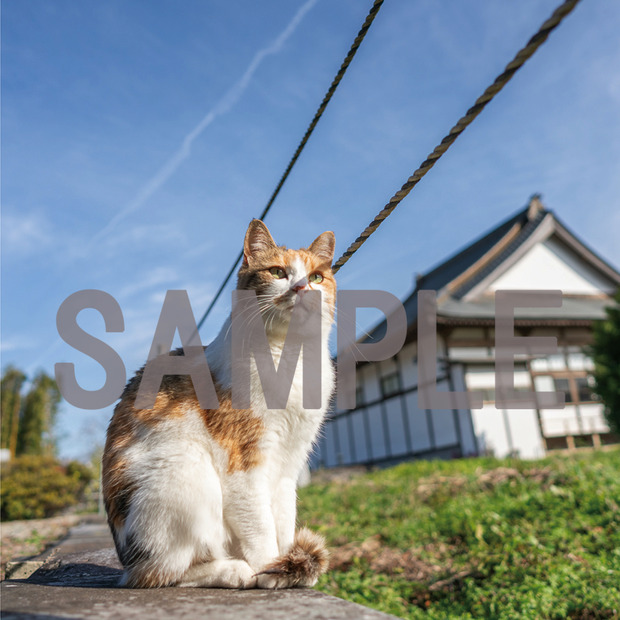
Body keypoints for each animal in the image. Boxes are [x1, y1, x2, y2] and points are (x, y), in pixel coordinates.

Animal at [103, 220, 334, 588]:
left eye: (316, 277)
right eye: (278, 272)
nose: (301, 288)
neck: (290, 355)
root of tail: (127, 562)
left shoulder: (290, 463)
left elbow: (283, 520)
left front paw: (288, 563)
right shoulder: (242, 462)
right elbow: (261, 525)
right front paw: (271, 568)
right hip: (185, 469)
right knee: (166, 572)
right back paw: (234, 570)